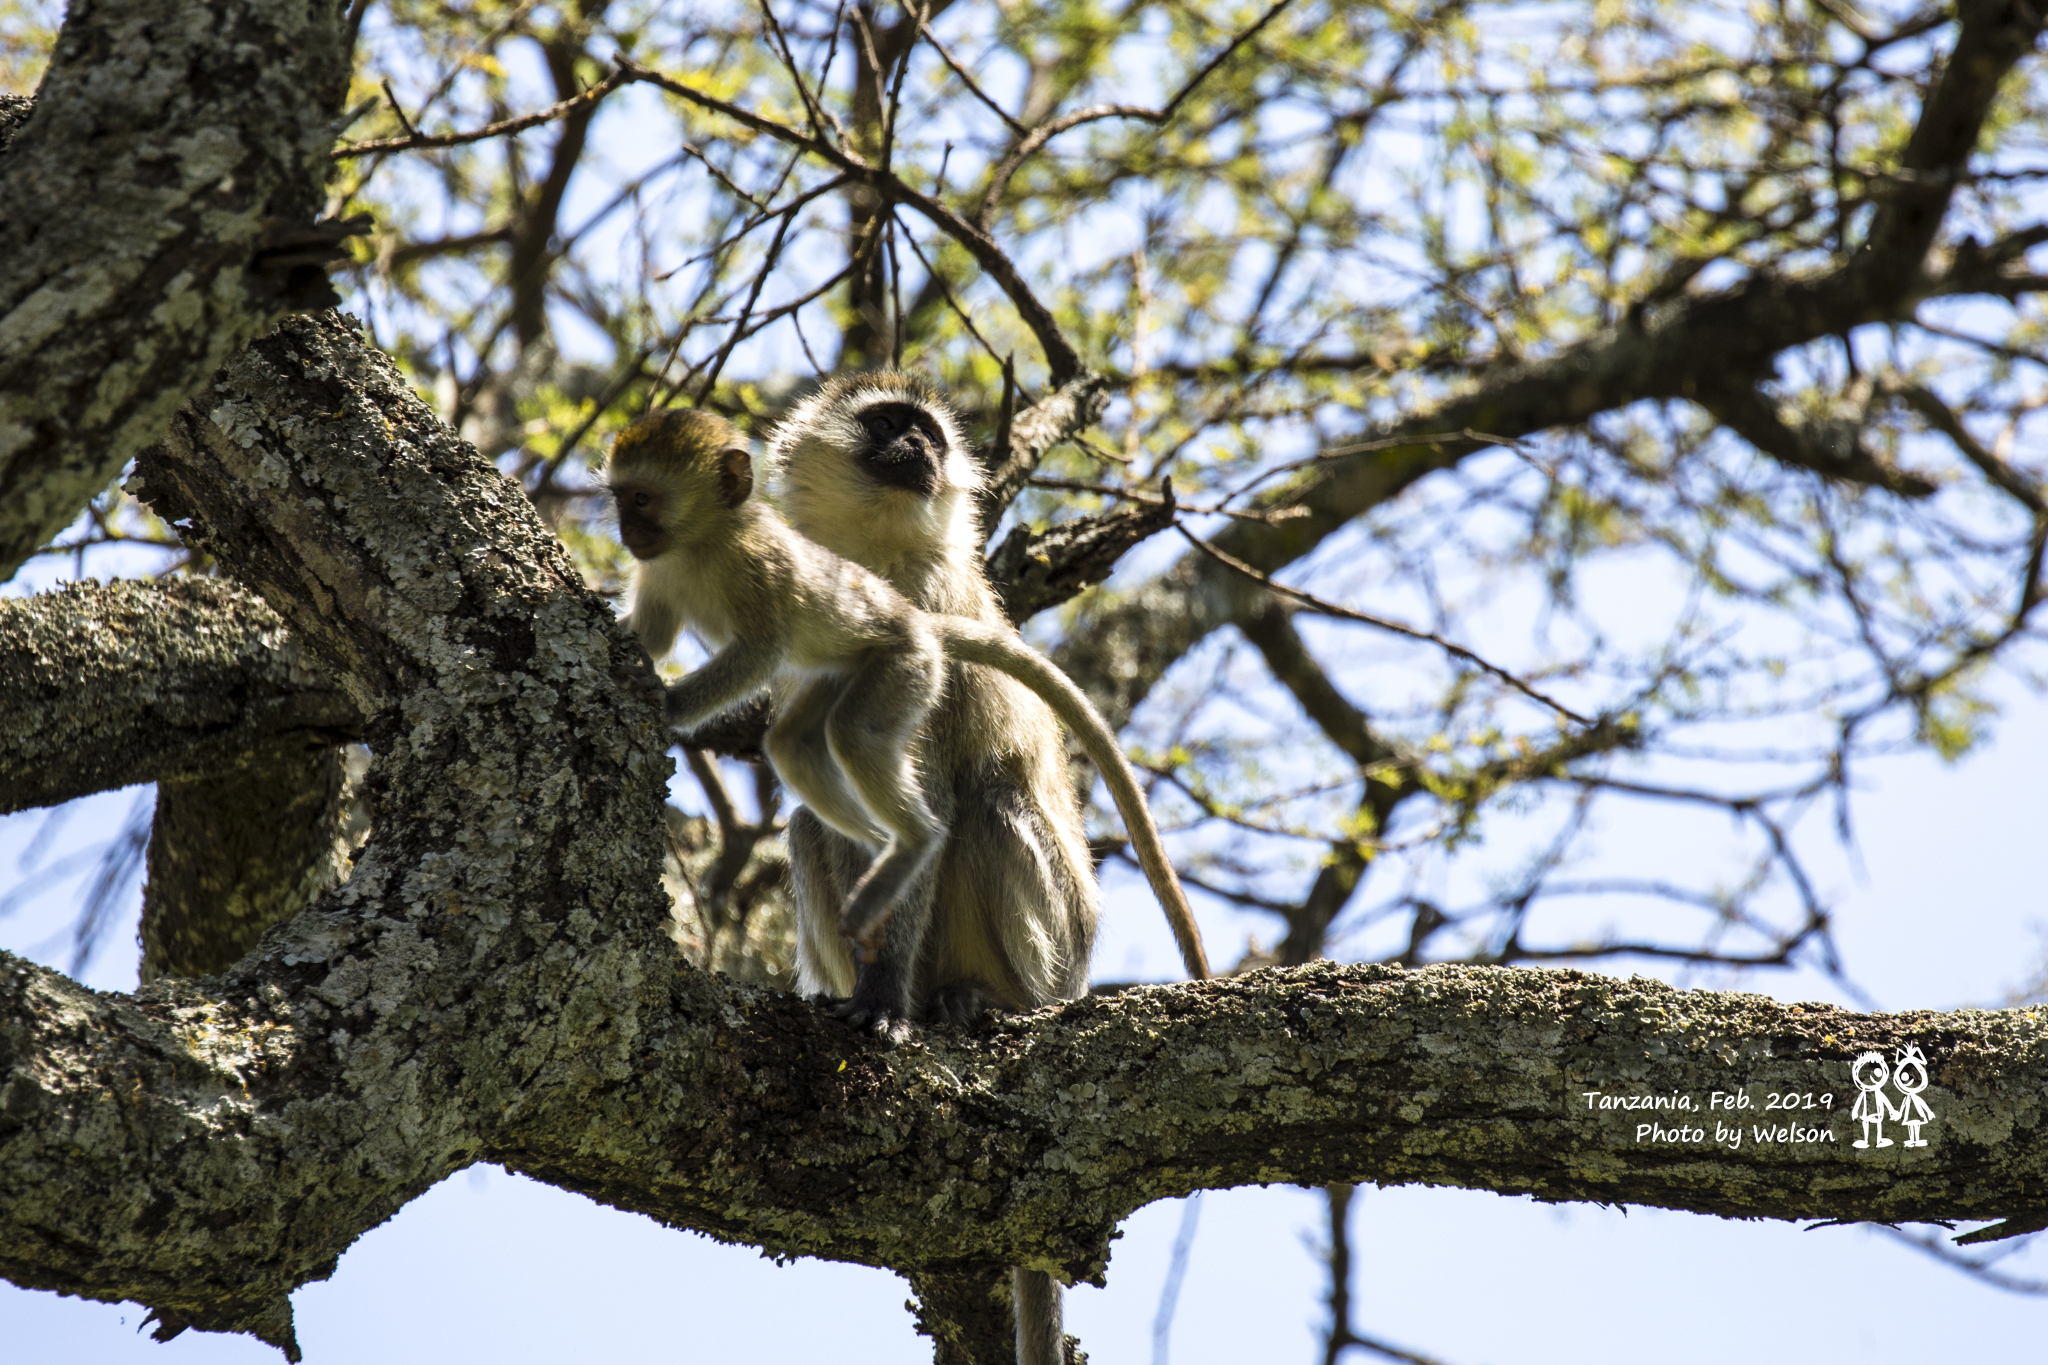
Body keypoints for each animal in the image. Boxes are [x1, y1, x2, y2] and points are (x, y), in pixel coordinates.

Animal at [598, 405, 1204, 994]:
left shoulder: (903, 587)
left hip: (1052, 935)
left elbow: (770, 653)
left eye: (927, 434)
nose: (915, 443)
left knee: (972, 797)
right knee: (806, 786)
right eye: (884, 424)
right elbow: (658, 634)